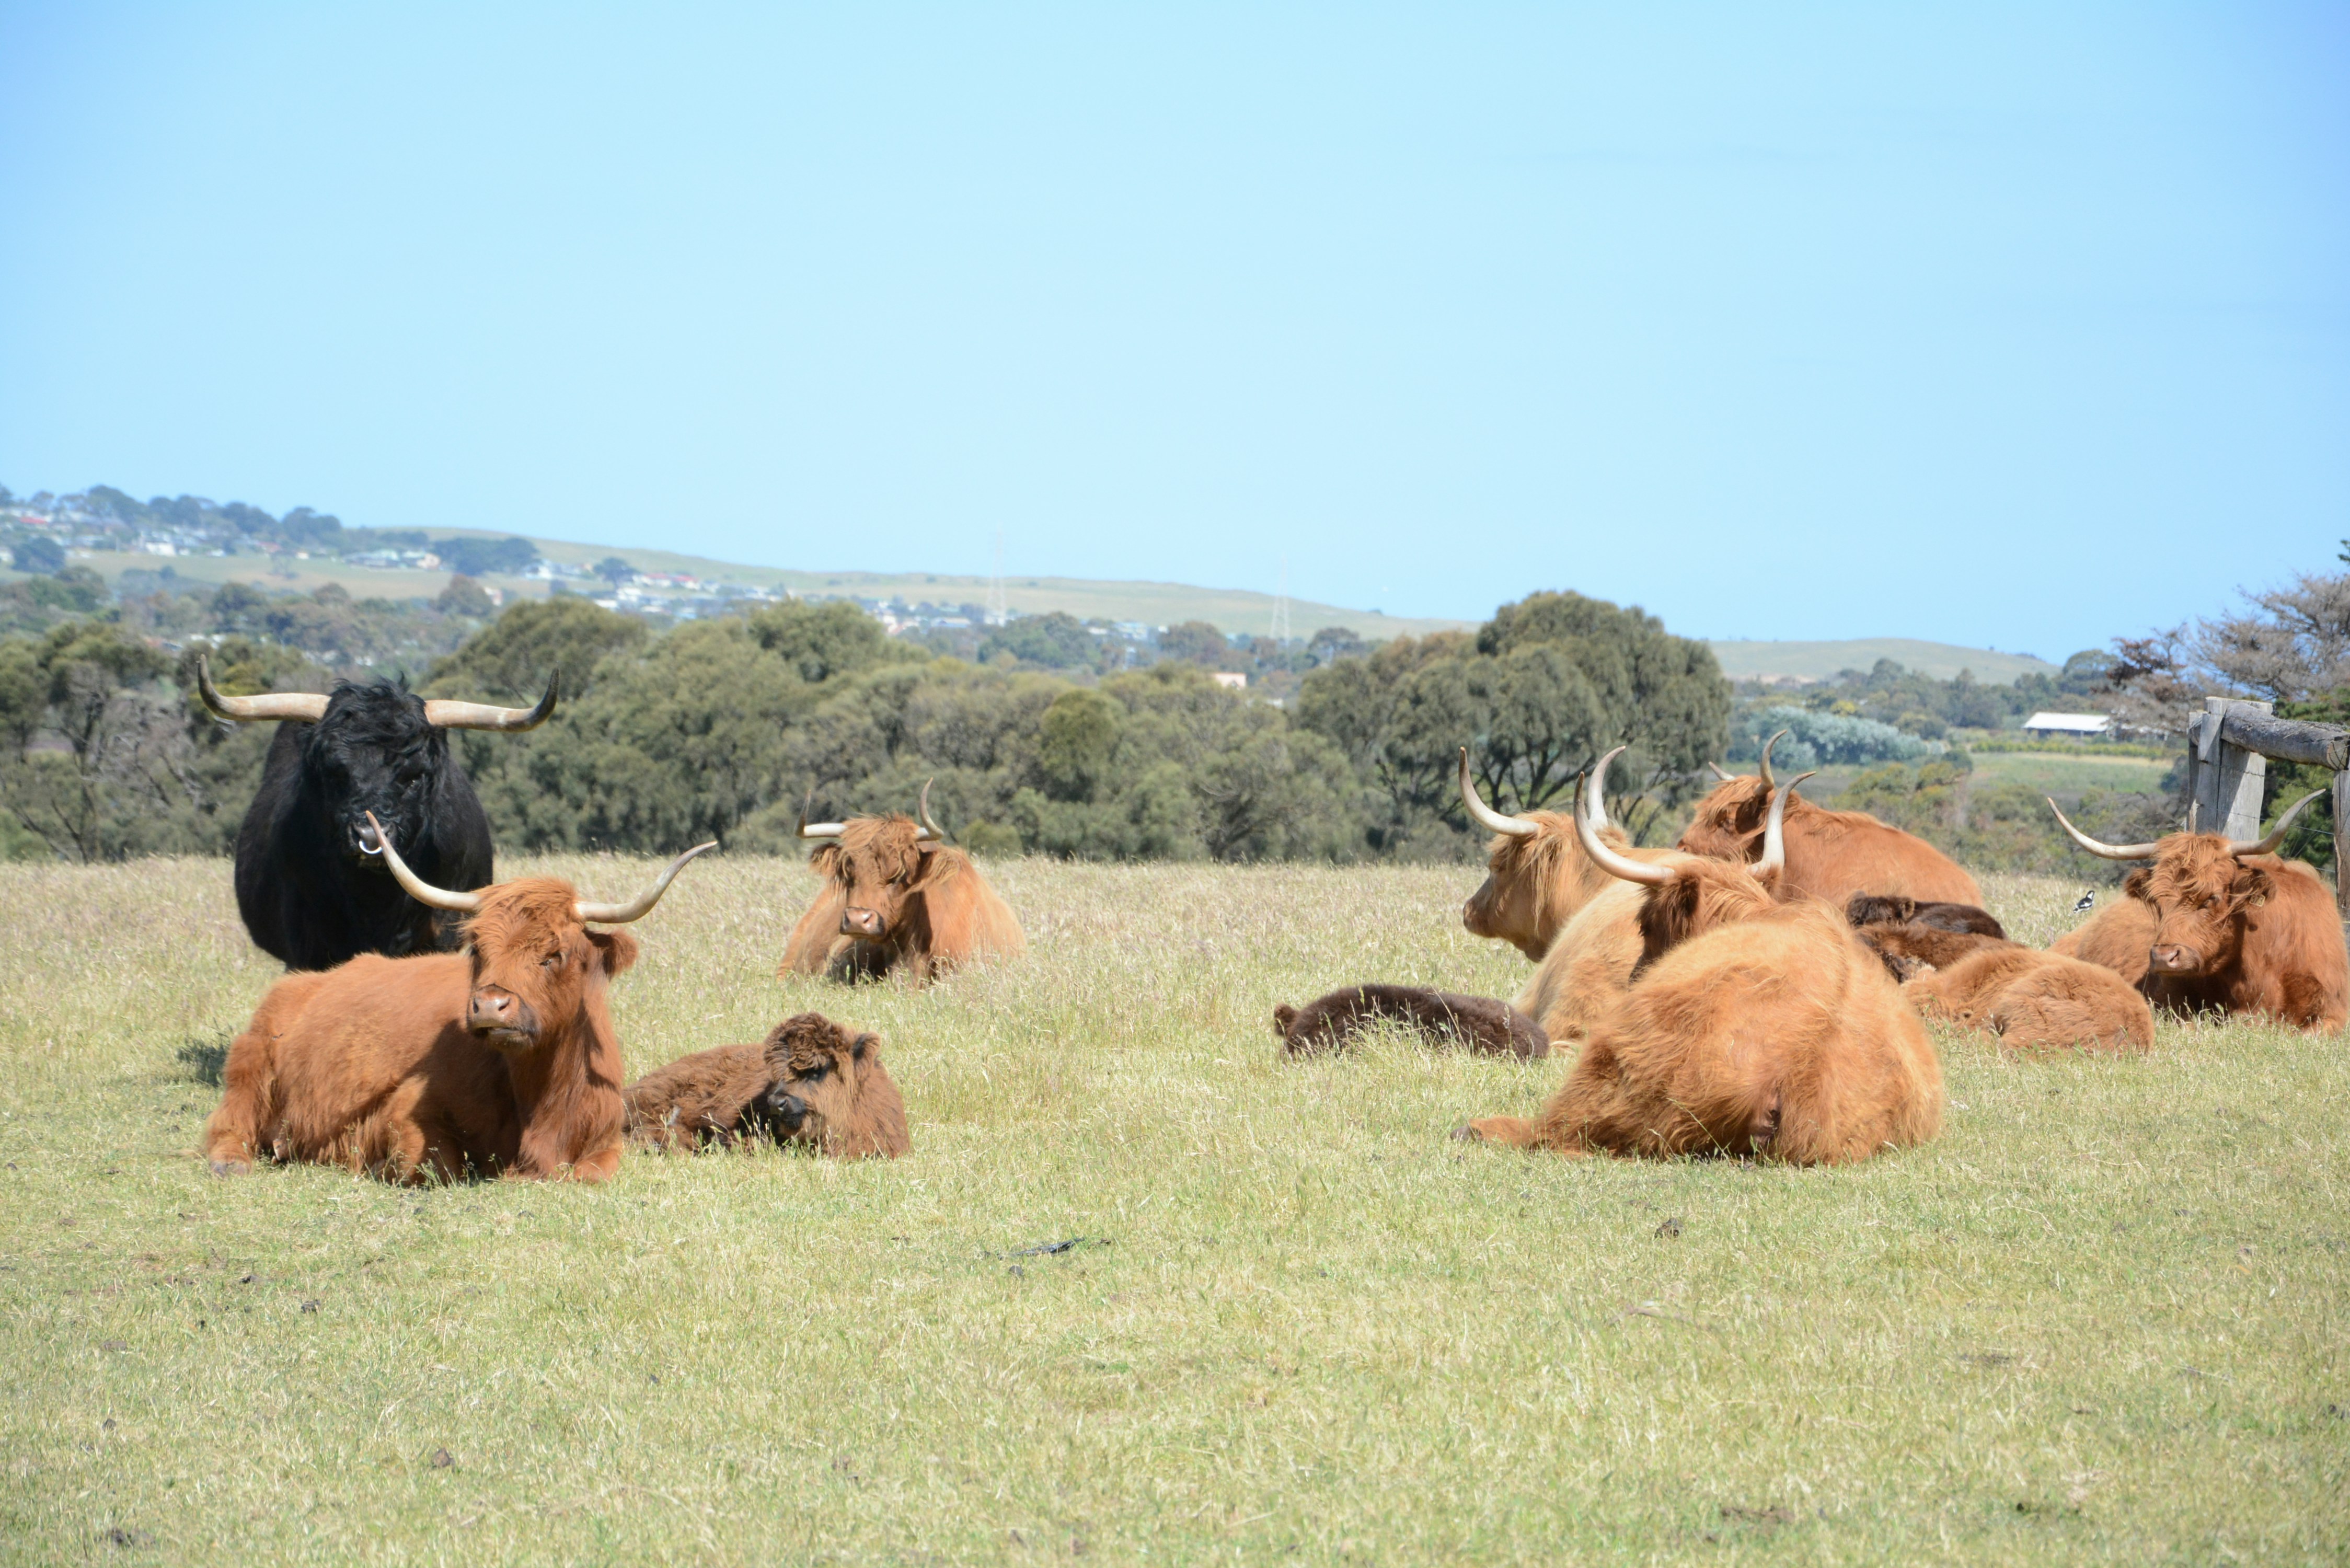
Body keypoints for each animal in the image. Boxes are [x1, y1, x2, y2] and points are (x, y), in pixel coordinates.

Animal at [201, 817, 712, 1184]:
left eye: (554, 955)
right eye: (478, 949)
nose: (489, 1006)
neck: (542, 1099)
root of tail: (305, 981)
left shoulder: (605, 1138)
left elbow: (592, 1173)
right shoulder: (406, 1109)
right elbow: (434, 1165)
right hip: (250, 1064)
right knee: (230, 1122)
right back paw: (232, 1162)